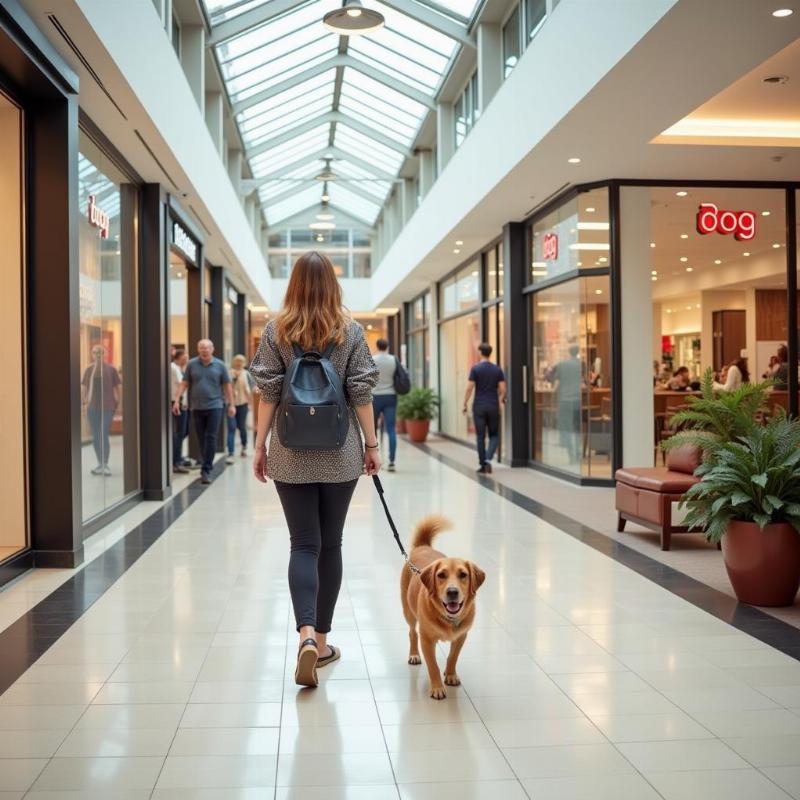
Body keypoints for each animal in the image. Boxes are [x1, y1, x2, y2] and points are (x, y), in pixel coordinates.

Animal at [404, 516, 484, 696]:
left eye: (463, 575)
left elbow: (453, 657)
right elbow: (433, 665)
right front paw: (437, 688)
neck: (448, 618)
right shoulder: (427, 640)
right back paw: (414, 654)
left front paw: (451, 674)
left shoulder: (461, 636)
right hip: (408, 611)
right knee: (412, 632)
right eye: (441, 575)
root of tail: (423, 546)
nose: (452, 591)